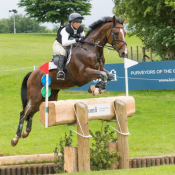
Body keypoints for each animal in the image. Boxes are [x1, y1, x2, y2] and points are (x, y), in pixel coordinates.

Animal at [11, 15, 129, 146]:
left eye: (125, 33)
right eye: (116, 33)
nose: (124, 53)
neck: (91, 49)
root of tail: (32, 73)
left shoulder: (99, 69)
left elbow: (109, 75)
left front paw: (96, 88)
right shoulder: (84, 73)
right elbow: (103, 75)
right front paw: (97, 89)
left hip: (49, 98)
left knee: (31, 112)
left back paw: (26, 132)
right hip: (35, 96)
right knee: (24, 112)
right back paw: (15, 138)